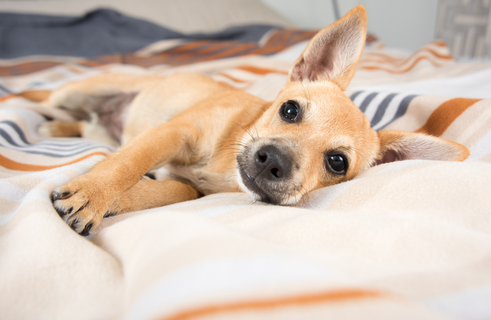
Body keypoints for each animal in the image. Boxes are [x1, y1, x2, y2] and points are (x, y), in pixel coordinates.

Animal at [38, 4, 468, 235]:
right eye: (290, 109)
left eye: (337, 162)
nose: (274, 160)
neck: (223, 169)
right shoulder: (176, 131)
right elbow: (128, 163)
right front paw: (94, 192)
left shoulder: (187, 187)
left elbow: (165, 190)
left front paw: (113, 200)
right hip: (75, 92)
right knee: (47, 100)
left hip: (98, 124)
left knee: (82, 125)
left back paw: (56, 127)